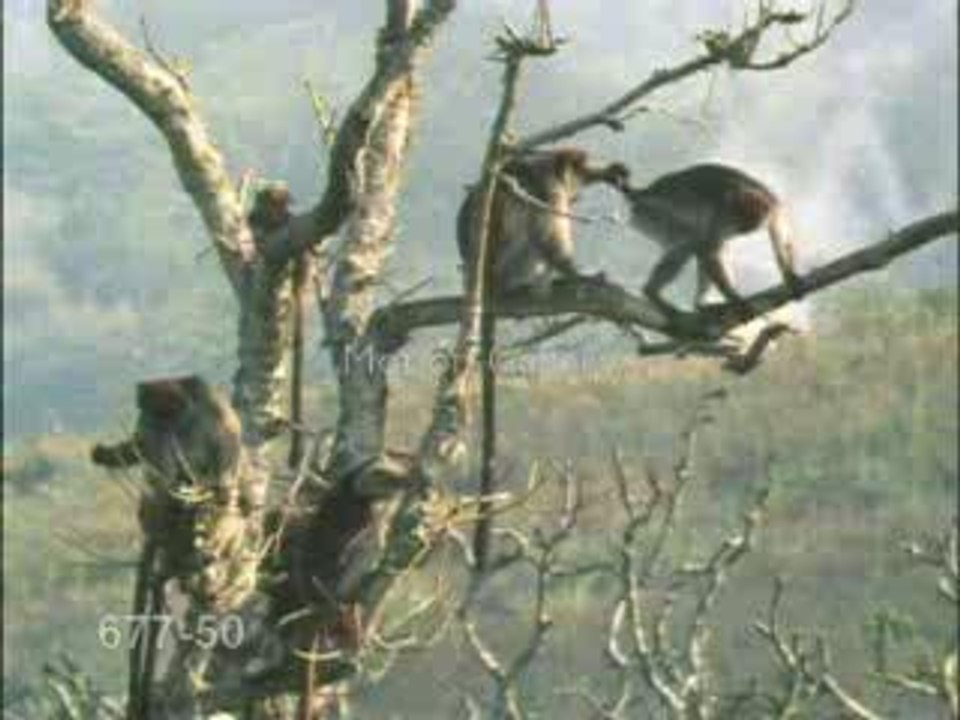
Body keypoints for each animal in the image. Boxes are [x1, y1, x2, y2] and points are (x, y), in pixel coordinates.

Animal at [613, 163, 802, 317]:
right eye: (737, 225)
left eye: (746, 228)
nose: (736, 232)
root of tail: (646, 192)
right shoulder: (722, 211)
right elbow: (710, 249)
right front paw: (734, 299)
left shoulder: (774, 205)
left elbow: (781, 239)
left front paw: (790, 275)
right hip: (650, 213)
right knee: (692, 244)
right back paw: (652, 293)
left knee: (702, 245)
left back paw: (699, 305)